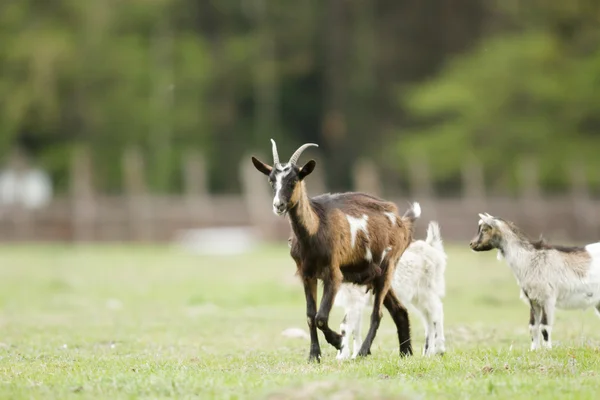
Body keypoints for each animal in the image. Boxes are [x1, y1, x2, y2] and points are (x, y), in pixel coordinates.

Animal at [251, 141, 420, 362]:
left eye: (294, 180)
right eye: (271, 180)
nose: (278, 205)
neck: (315, 229)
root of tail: (403, 222)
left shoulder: (333, 273)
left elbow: (321, 317)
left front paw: (339, 341)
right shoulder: (306, 274)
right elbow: (310, 316)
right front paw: (314, 355)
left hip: (389, 265)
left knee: (378, 313)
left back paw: (363, 351)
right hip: (377, 274)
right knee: (399, 310)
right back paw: (405, 353)